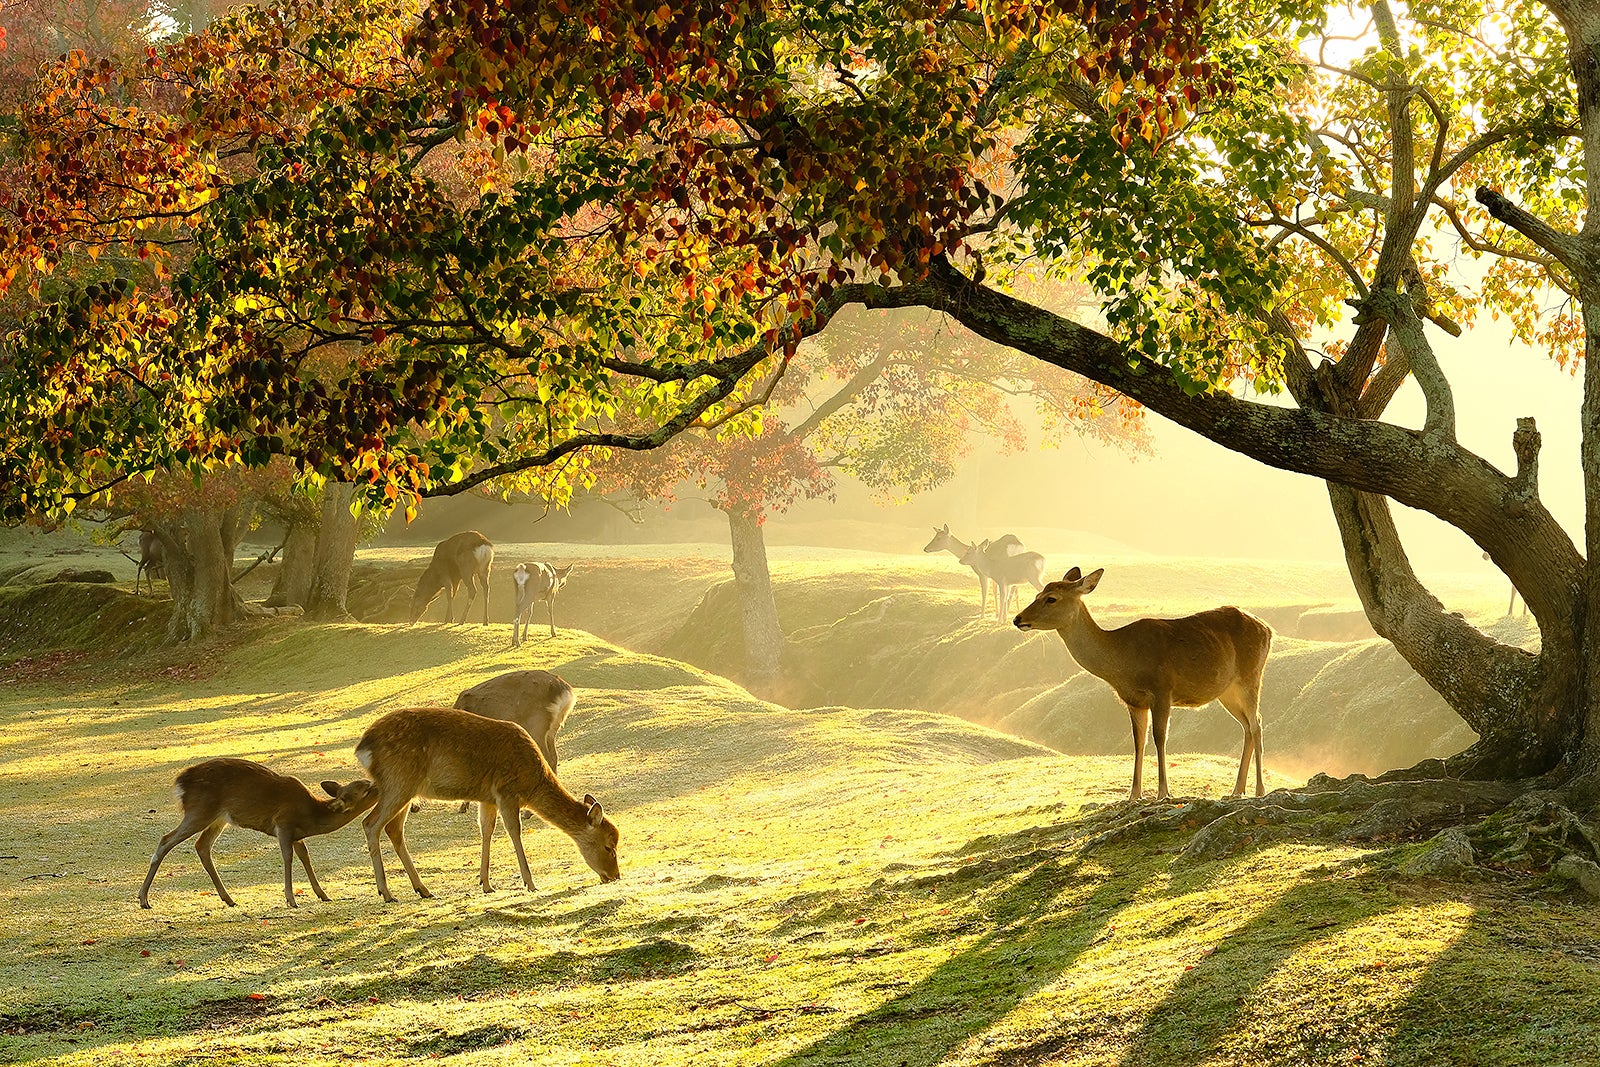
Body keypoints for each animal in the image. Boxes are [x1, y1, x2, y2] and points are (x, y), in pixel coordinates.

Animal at [136, 758, 376, 908]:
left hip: (218, 818)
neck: (312, 815)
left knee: (202, 845)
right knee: (166, 840)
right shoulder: (283, 823)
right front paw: (291, 899)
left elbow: (305, 856)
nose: (378, 783)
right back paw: (144, 899)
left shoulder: (296, 835)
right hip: (200, 810)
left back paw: (229, 898)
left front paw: (323, 895)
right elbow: (288, 857)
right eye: (366, 789)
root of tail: (180, 782)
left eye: (365, 783)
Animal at [355, 710, 617, 902]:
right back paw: (387, 893)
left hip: (406, 790)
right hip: (398, 781)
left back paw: (423, 889)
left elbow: (486, 831)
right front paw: (530, 883)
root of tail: (363, 748)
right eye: (608, 846)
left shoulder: (487, 798)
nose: (614, 876)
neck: (532, 782)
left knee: (393, 829)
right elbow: (514, 831)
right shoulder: (506, 791)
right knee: (370, 823)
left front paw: (486, 884)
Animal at [1011, 566, 1273, 799]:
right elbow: (1138, 741)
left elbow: (1159, 737)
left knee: (1257, 724)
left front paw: (1163, 792)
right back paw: (1237, 790)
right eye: (1036, 595)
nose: (1017, 618)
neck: (1123, 659)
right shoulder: (1134, 700)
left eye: (1051, 598)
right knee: (1247, 726)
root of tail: (1268, 629)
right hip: (1227, 692)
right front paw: (1133, 795)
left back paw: (1259, 790)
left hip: (1251, 677)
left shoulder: (1162, 689)